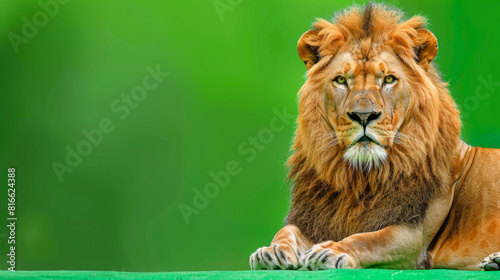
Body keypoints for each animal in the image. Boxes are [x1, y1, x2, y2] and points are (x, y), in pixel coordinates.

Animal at [249, 3, 500, 272]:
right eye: (341, 80)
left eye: (388, 79)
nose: (364, 115)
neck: (360, 177)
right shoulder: (315, 218)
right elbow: (286, 231)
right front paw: (272, 251)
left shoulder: (412, 235)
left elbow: (367, 239)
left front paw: (331, 251)